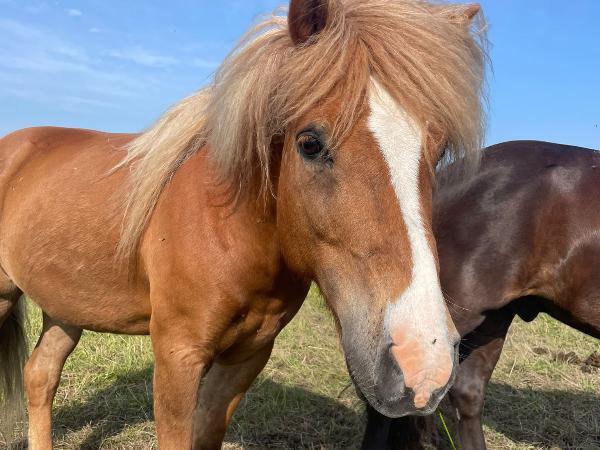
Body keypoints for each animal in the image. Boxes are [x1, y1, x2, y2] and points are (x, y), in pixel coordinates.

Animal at [0, 0, 487, 448]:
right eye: (310, 143)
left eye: (438, 151)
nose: (423, 361)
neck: (226, 228)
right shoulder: (177, 354)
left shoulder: (247, 356)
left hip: (65, 307)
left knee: (40, 375)